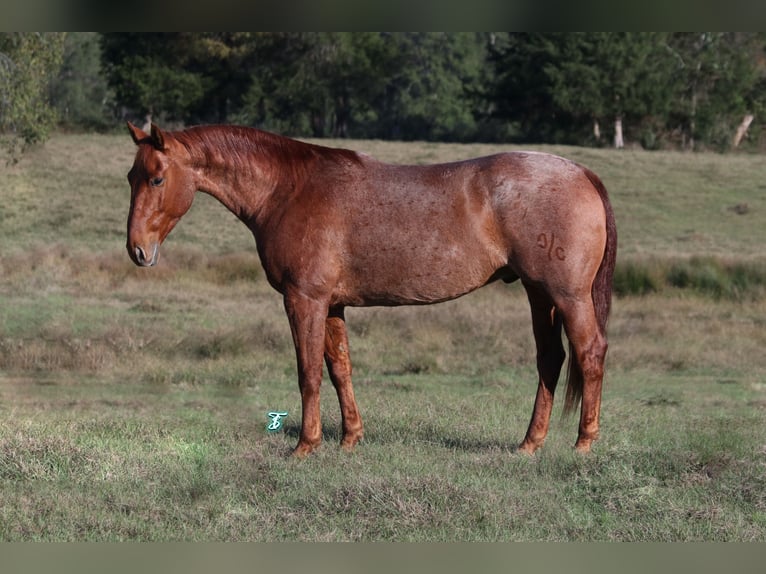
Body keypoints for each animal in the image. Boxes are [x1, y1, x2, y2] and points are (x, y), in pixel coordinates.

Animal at [124, 122, 616, 460]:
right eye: (132, 177)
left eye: (156, 179)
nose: (137, 250)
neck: (288, 189)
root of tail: (582, 173)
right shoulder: (332, 305)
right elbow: (340, 368)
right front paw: (350, 438)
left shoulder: (304, 300)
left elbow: (308, 372)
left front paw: (305, 445)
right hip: (538, 294)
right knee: (550, 359)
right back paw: (529, 444)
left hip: (567, 296)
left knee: (590, 353)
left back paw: (583, 443)